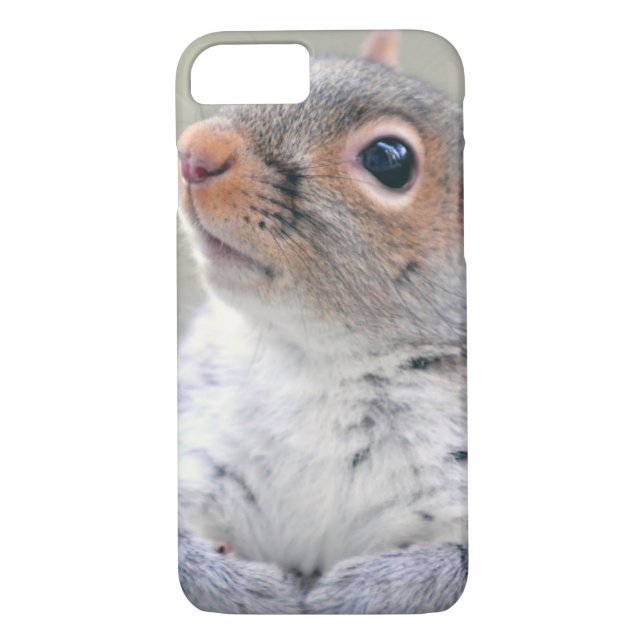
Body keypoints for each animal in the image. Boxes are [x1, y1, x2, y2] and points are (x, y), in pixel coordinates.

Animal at [177, 31, 466, 614]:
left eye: (388, 159)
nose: (196, 150)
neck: (316, 360)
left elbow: (454, 568)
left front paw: (367, 590)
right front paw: (250, 589)